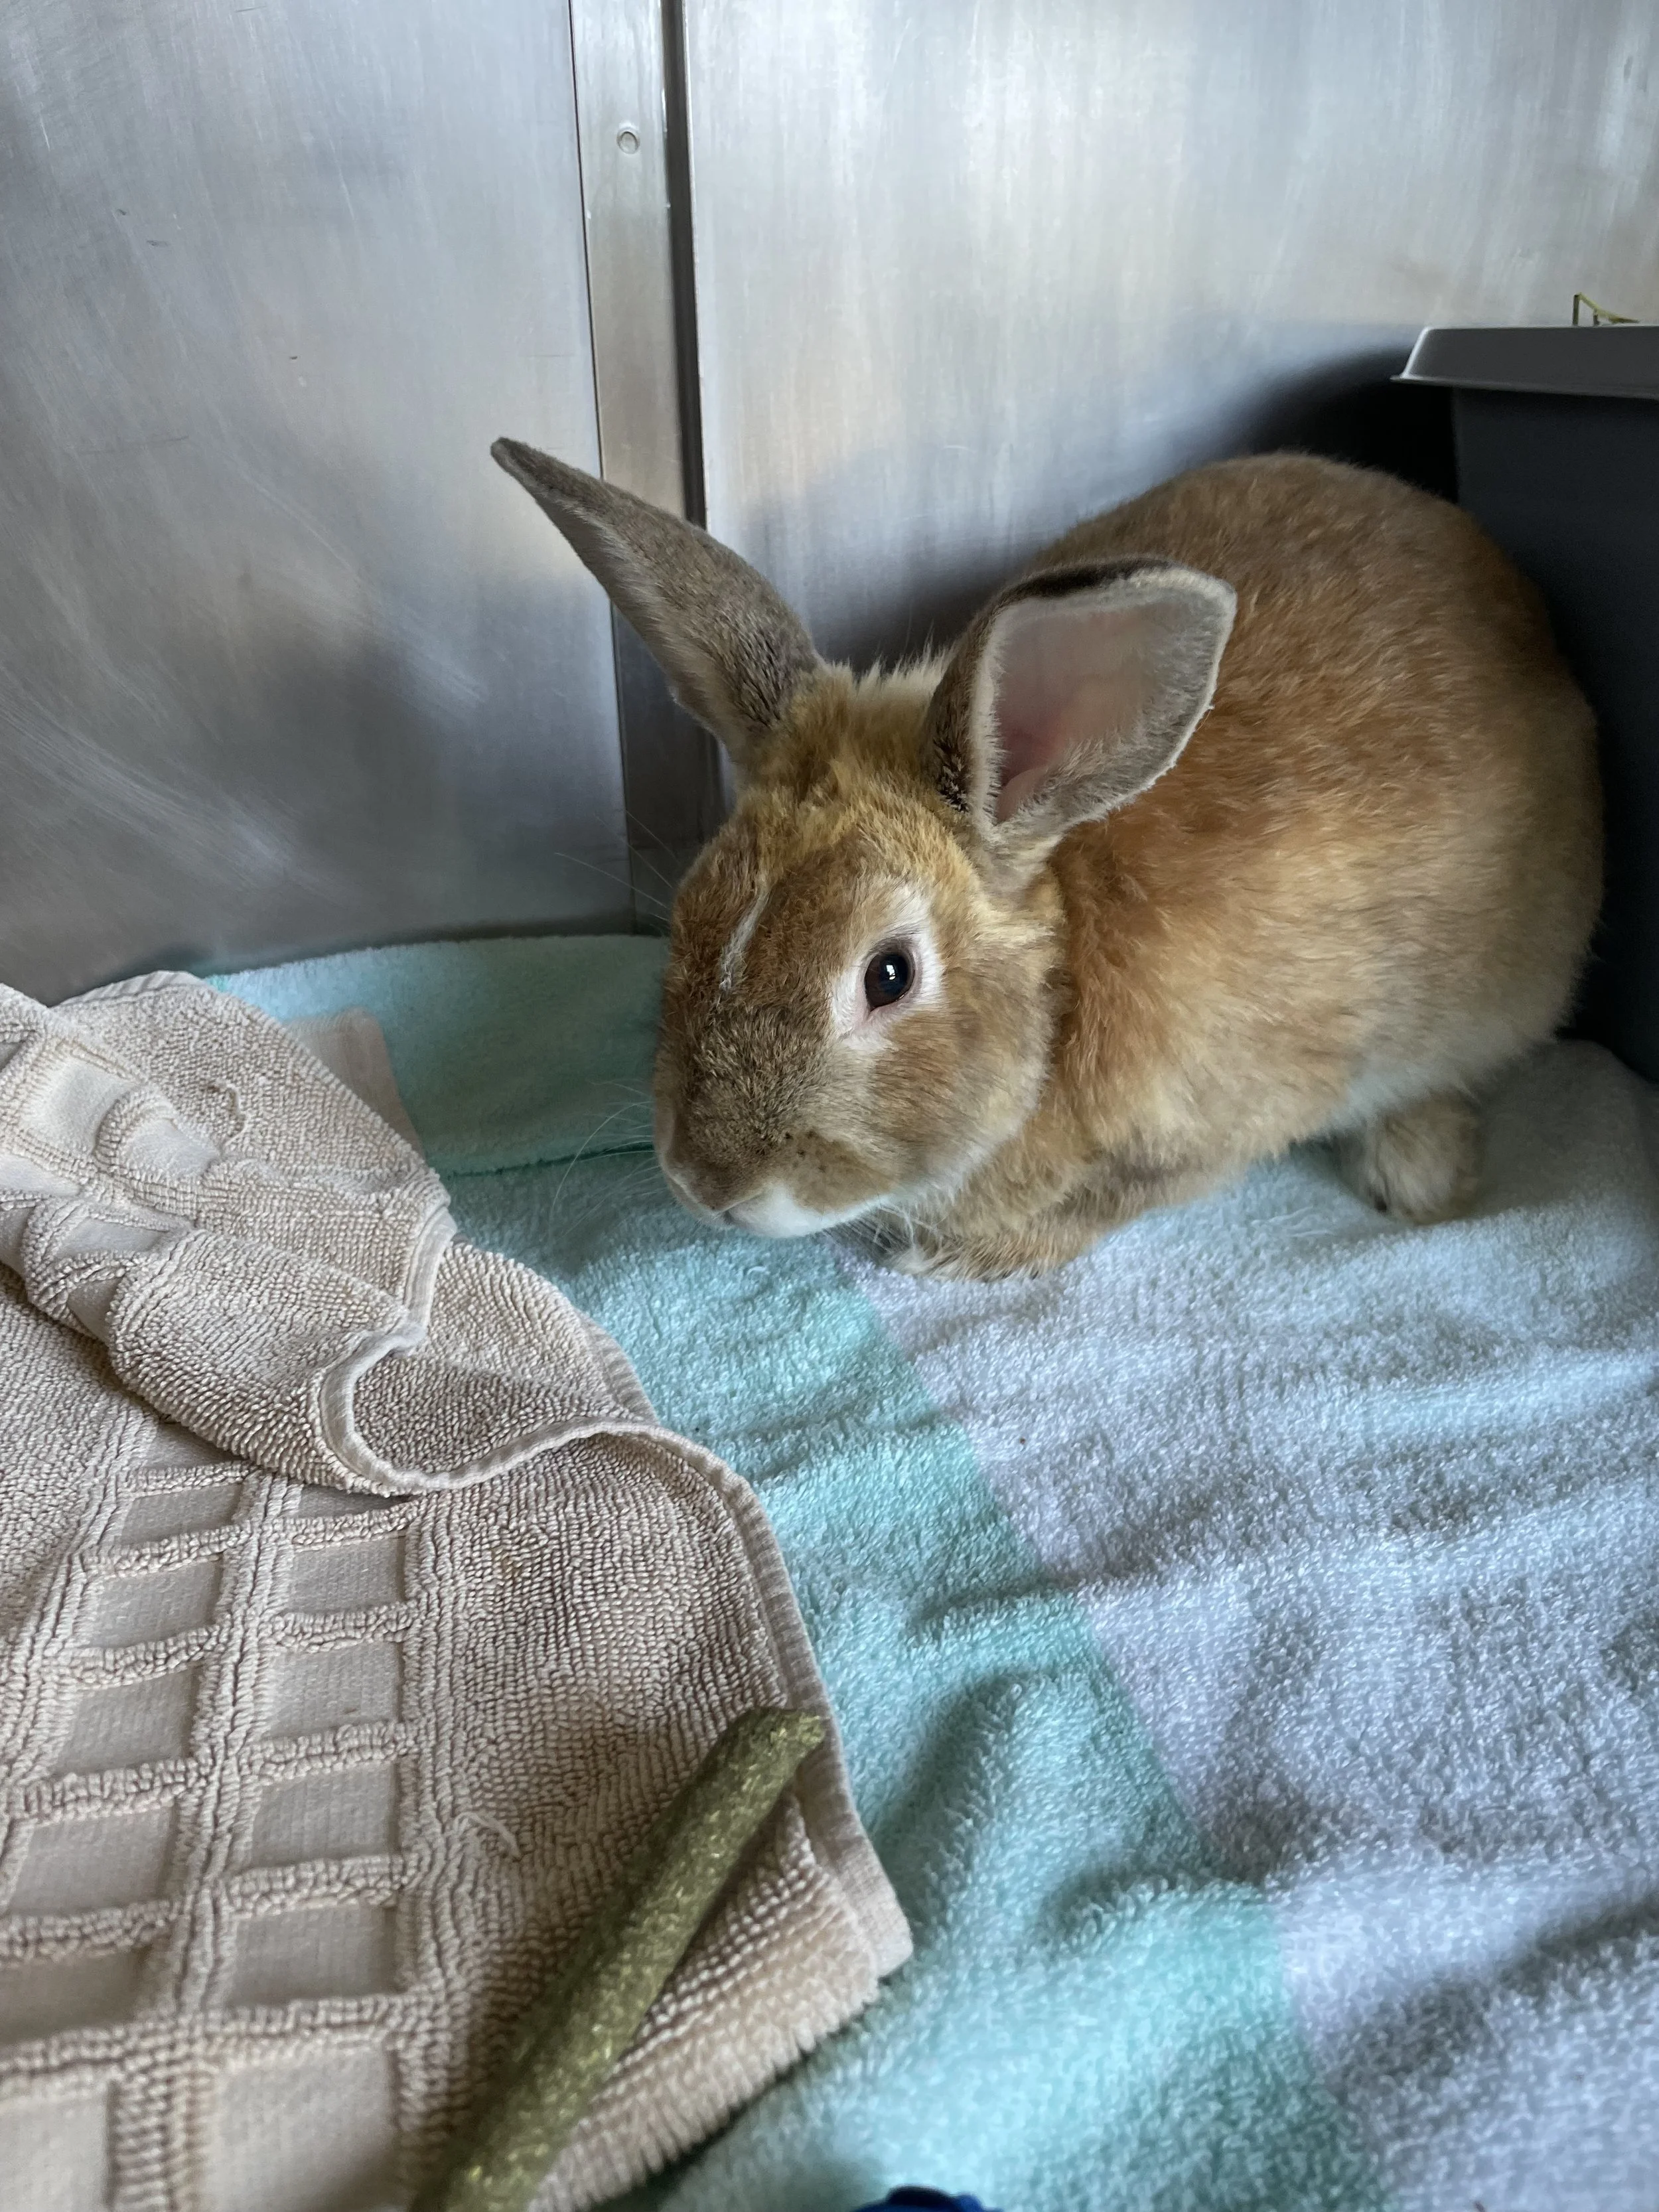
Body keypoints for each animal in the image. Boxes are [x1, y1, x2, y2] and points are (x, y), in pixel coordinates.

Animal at [493, 437, 1601, 1279]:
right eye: (692, 911)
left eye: (888, 976)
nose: (705, 1183)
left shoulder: (1214, 1132)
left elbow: (1107, 1207)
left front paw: (957, 1258)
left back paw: (1415, 1173)